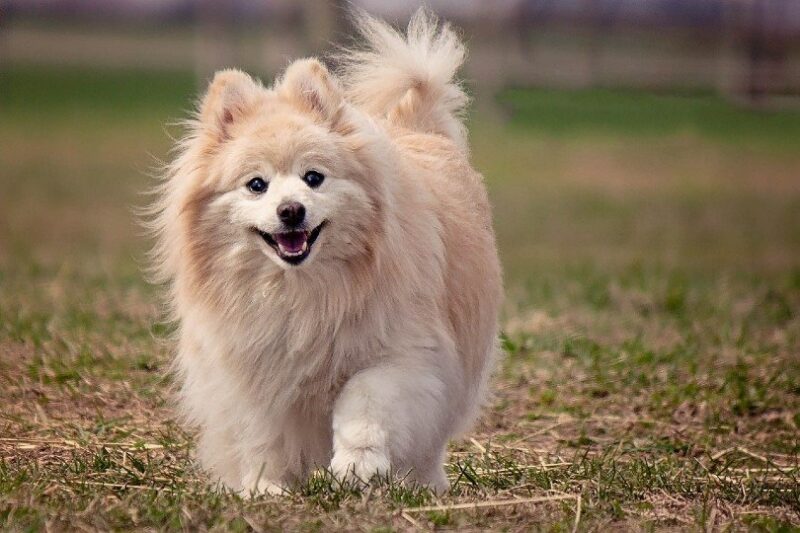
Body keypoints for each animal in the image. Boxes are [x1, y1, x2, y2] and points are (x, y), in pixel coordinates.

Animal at [145, 8, 500, 492]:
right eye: (256, 185)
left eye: (313, 177)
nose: (291, 210)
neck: (301, 292)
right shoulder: (251, 371)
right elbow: (261, 434)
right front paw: (263, 487)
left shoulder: (402, 355)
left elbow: (363, 402)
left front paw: (356, 465)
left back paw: (422, 484)